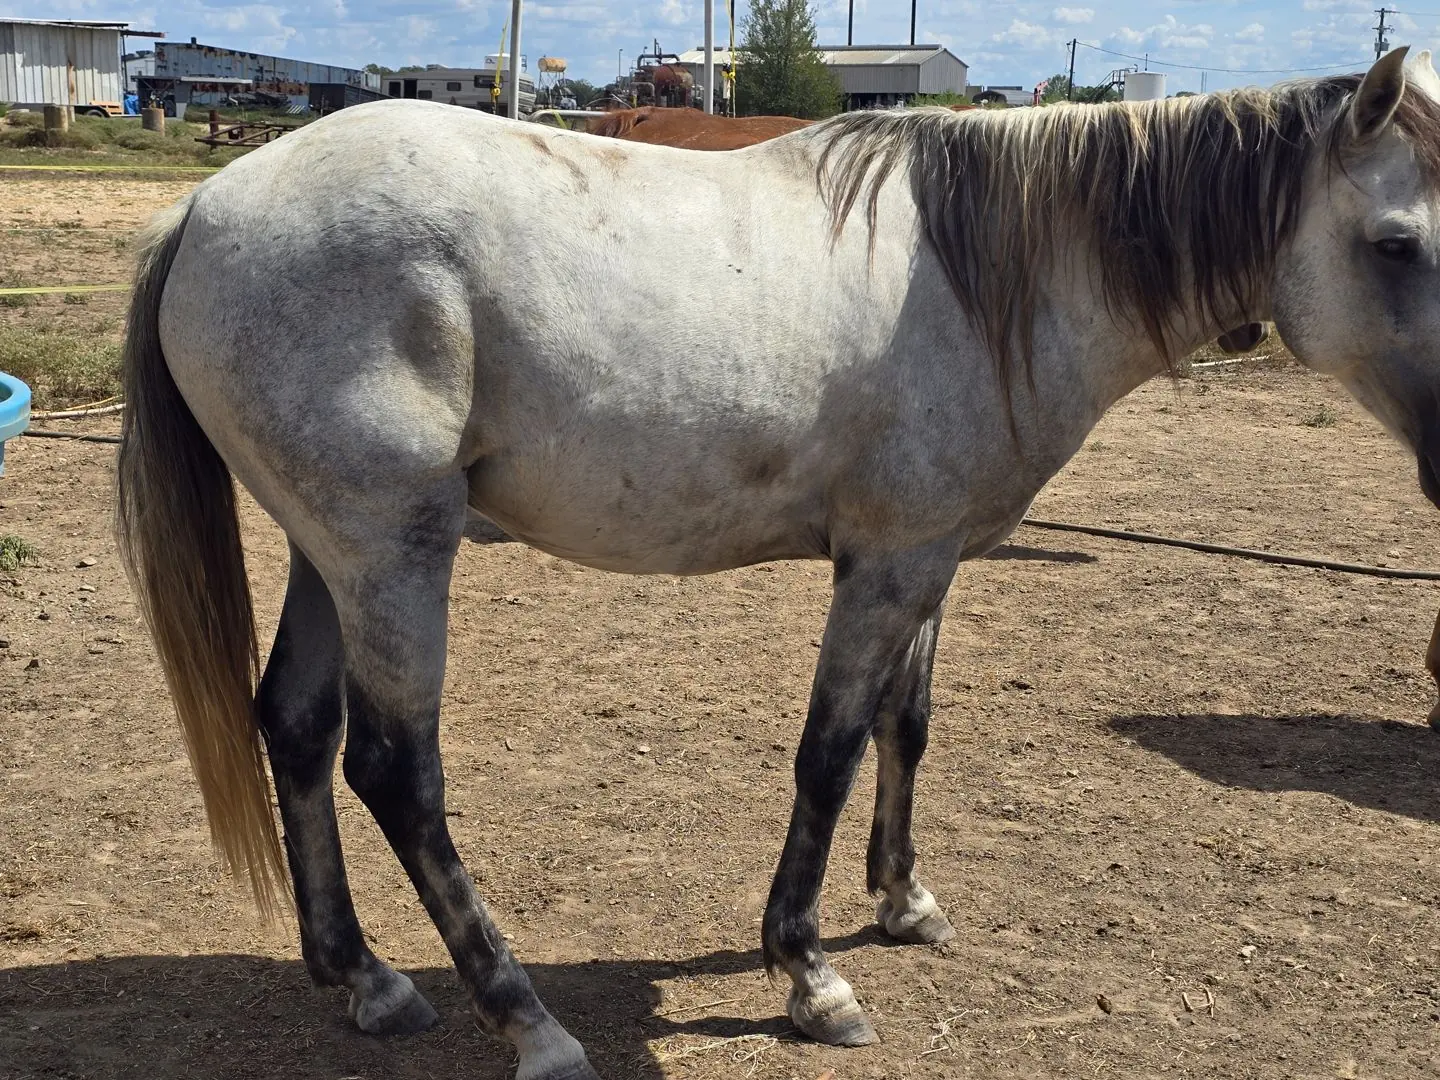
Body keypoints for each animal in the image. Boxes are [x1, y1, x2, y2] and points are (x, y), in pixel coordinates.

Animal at [114, 48, 1440, 1079]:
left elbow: (908, 726)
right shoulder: (885, 567)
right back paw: (525, 1018)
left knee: (295, 728)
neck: (986, 276)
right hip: (391, 554)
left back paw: (364, 978)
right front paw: (808, 973)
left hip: (327, 552)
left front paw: (902, 904)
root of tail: (212, 205)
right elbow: (831, 752)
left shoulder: (929, 559)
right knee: (397, 774)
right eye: (1397, 242)